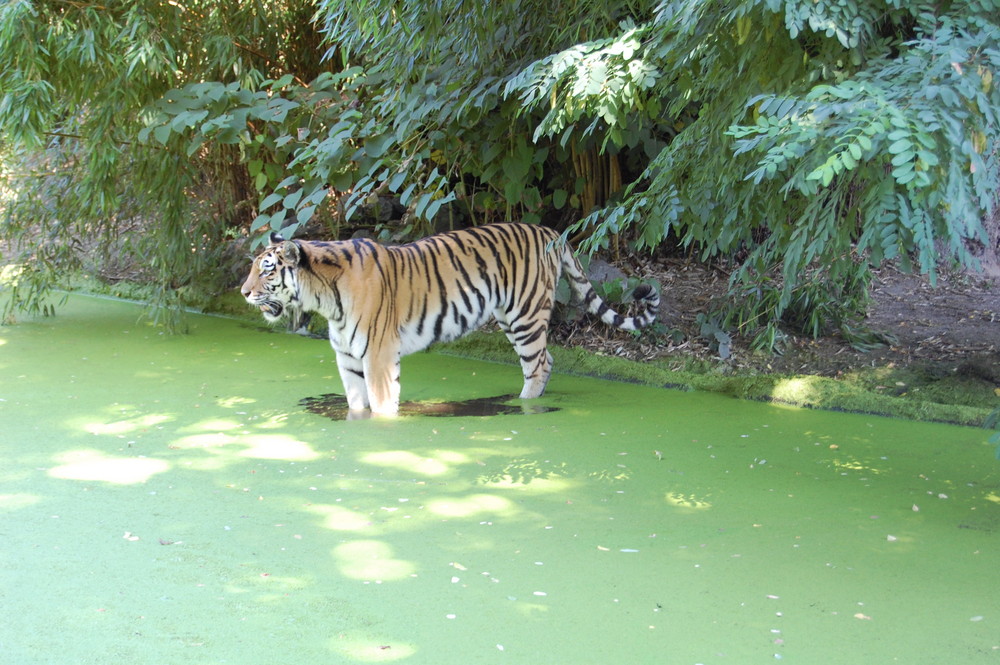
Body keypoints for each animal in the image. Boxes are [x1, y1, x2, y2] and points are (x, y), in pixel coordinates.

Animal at [241, 223, 660, 416]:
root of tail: (549, 231)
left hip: (525, 316)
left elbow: (381, 406)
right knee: (548, 359)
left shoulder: (378, 356)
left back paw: (521, 405)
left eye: (266, 270)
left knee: (538, 366)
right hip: (511, 318)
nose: (243, 292)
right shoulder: (347, 360)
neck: (326, 300)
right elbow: (356, 405)